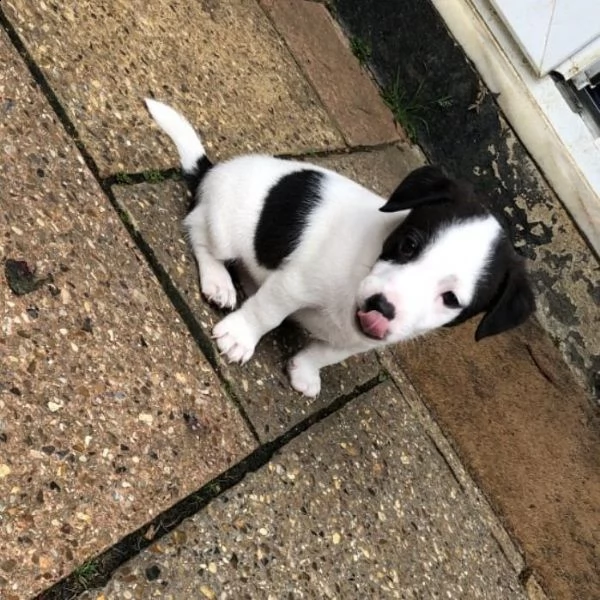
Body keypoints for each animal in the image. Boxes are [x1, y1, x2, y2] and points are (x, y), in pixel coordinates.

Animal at [144, 101, 536, 396]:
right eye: (408, 245)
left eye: (451, 299)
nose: (382, 306)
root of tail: (212, 172)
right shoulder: (293, 285)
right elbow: (267, 314)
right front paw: (241, 336)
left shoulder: (362, 340)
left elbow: (328, 354)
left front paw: (305, 369)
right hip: (223, 229)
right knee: (199, 232)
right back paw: (219, 281)